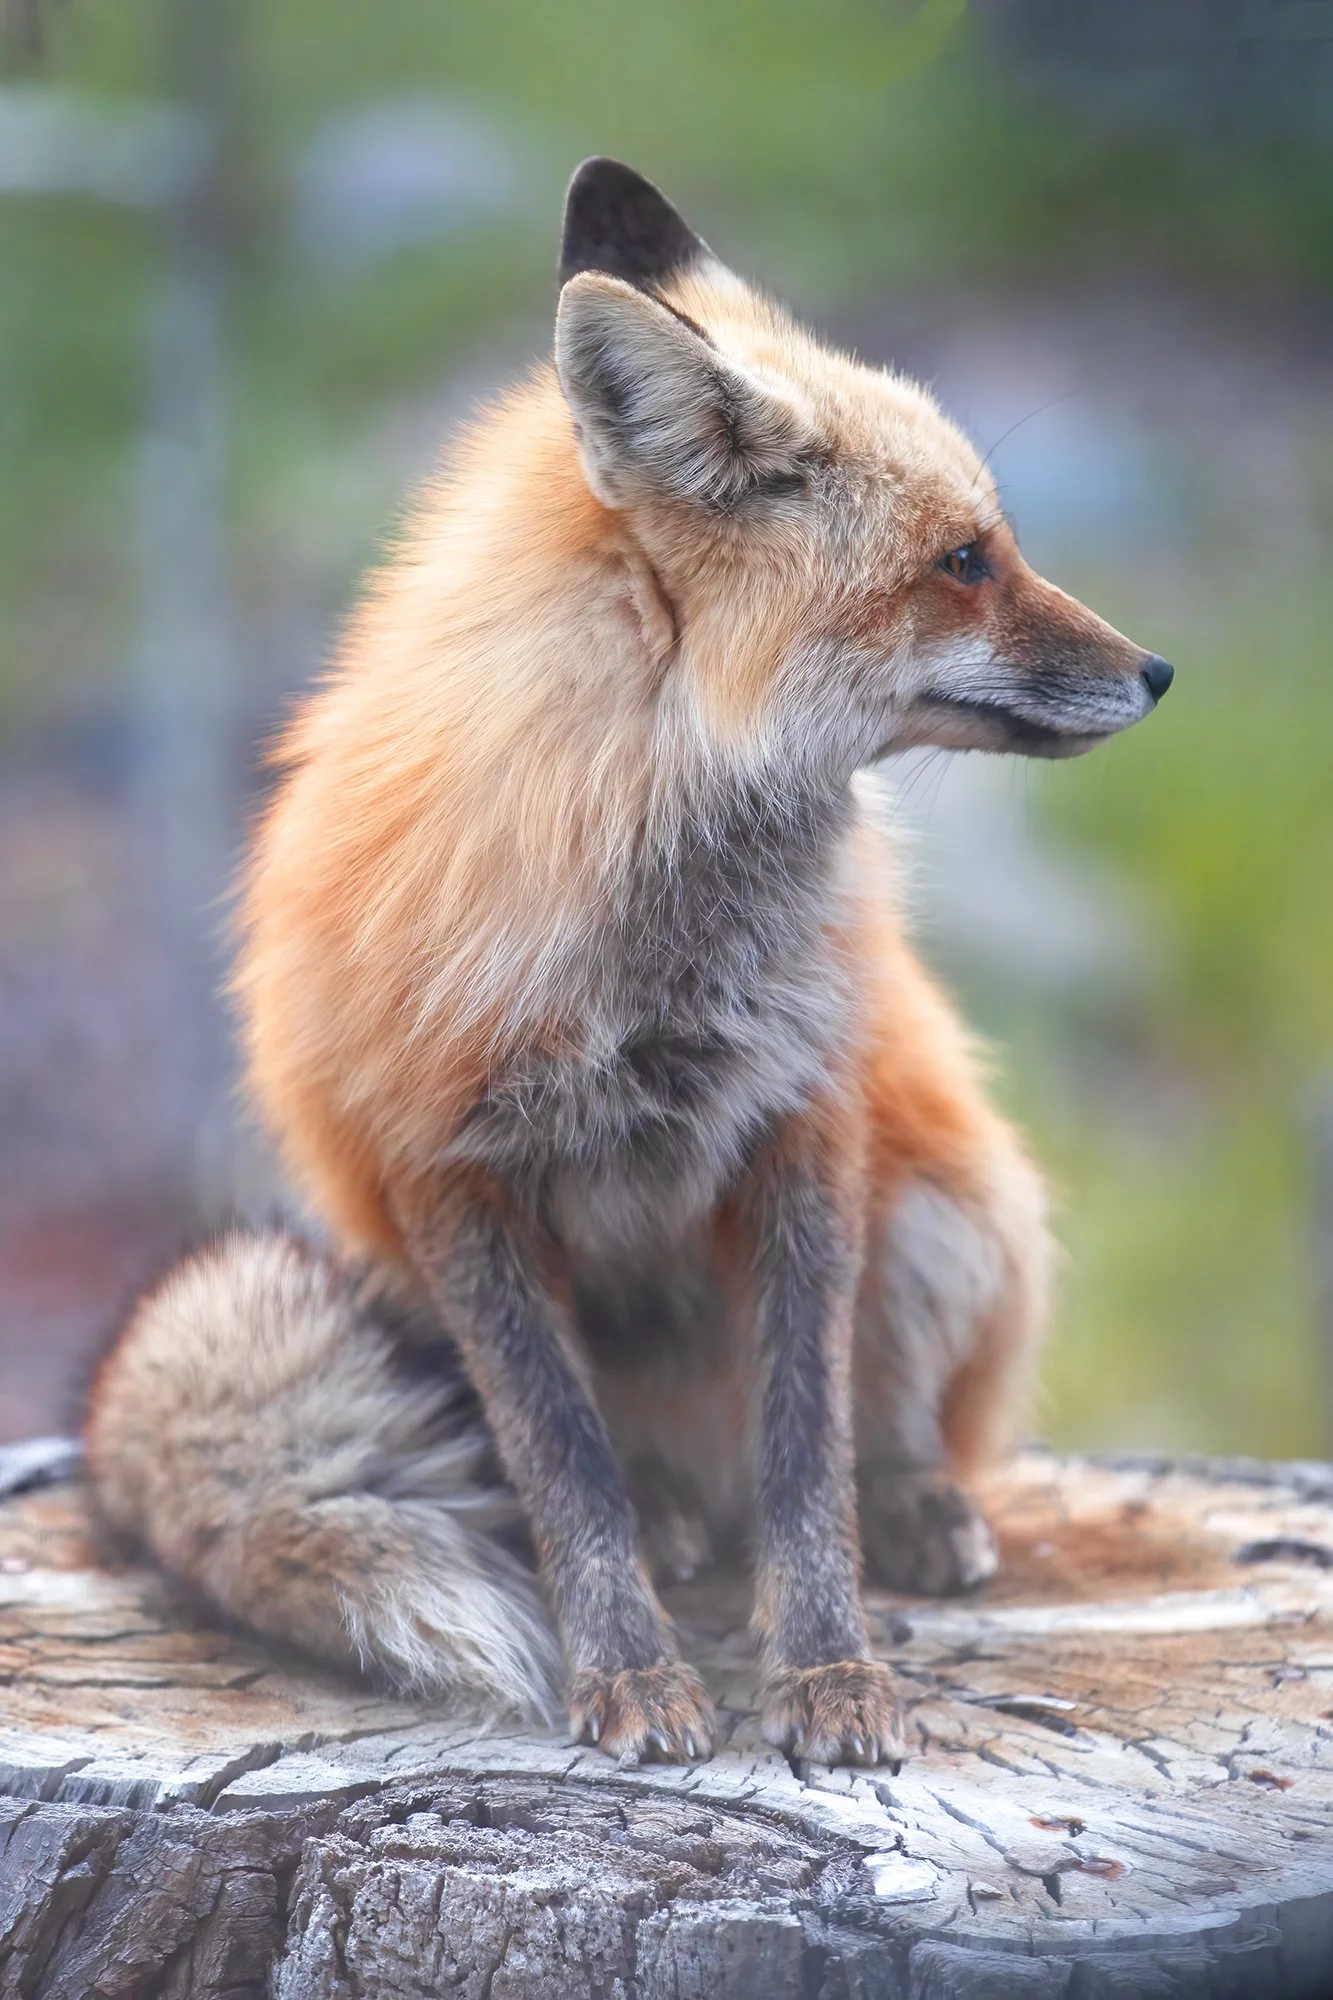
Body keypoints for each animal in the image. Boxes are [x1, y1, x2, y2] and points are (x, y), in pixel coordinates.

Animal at [83, 159, 1173, 1769]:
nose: (1160, 672)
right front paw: (628, 1671)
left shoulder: (803, 1124)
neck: (640, 912)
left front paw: (828, 1669)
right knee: (622, 1474)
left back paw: (913, 1503)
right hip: (395, 1277)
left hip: (946, 1200)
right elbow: (564, 1471)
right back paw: (675, 1527)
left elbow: (807, 1463)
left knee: (883, 1430)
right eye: (964, 562)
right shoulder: (448, 1176)